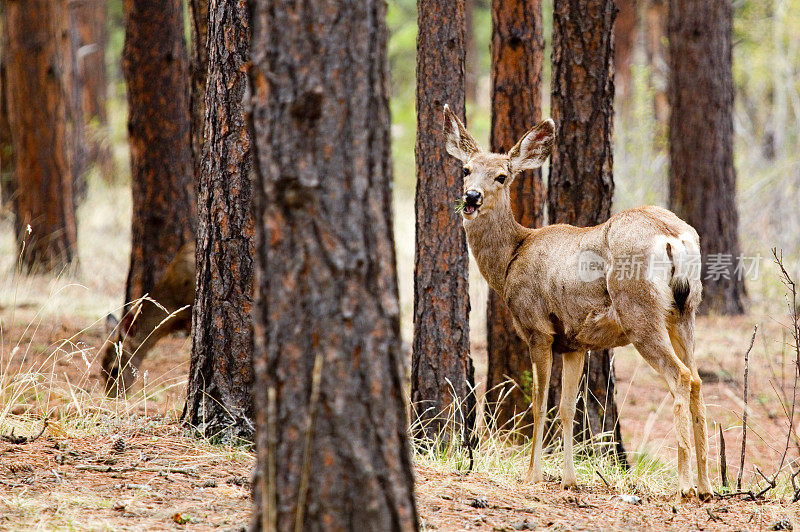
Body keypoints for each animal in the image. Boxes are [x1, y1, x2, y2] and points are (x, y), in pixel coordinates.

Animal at [444, 105, 712, 498]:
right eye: (466, 169)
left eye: (502, 176)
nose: (471, 197)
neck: (511, 259)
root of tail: (672, 237)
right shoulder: (574, 343)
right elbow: (568, 409)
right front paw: (569, 480)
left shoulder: (538, 329)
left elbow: (539, 405)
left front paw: (532, 475)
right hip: (685, 311)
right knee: (696, 380)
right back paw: (708, 485)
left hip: (640, 311)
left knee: (680, 377)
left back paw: (684, 486)